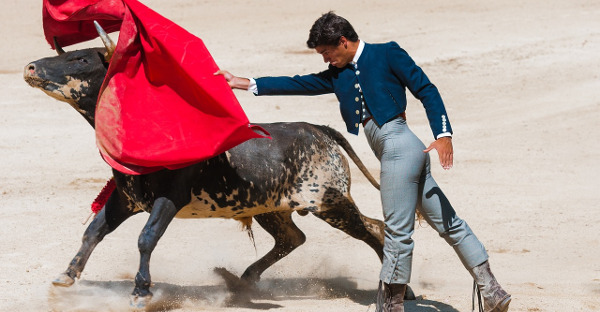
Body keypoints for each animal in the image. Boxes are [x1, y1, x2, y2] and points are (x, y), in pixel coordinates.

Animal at [24, 25, 404, 308]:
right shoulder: (126, 198)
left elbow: (146, 238)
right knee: (293, 237)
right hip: (271, 208)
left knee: (373, 229)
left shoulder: (168, 199)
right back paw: (242, 281)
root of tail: (318, 129)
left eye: (80, 58)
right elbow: (94, 231)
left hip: (329, 202)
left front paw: (141, 292)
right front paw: (66, 277)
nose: (30, 68)